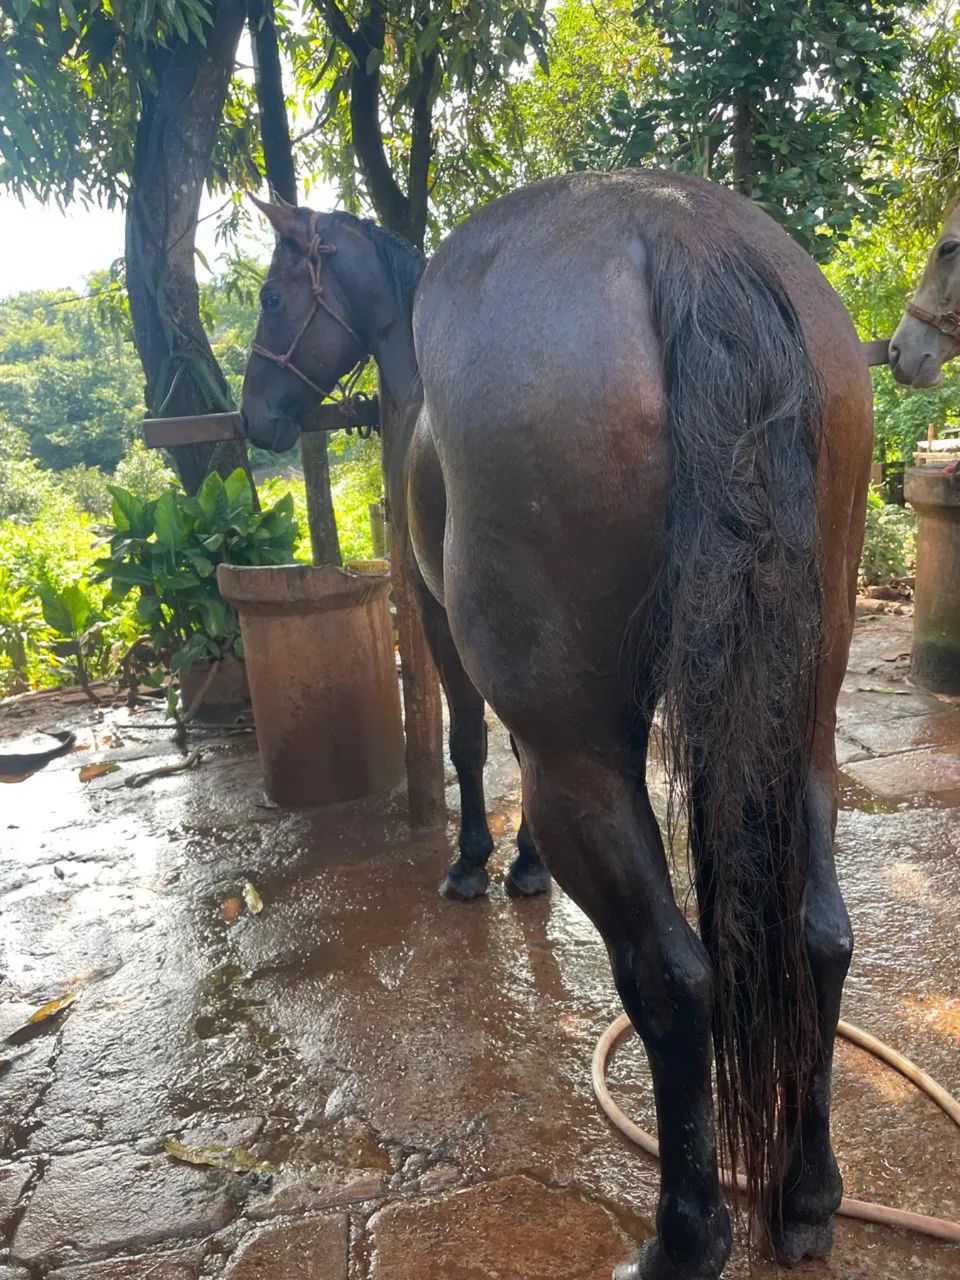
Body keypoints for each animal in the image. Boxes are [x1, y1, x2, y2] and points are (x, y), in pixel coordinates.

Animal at [241, 170, 872, 1280]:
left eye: (278, 296)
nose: (256, 412)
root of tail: (683, 231)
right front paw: (523, 868)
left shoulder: (437, 621)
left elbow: (466, 740)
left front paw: (474, 864)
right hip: (802, 728)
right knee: (820, 937)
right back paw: (805, 1195)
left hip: (583, 755)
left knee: (673, 972)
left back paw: (684, 1238)